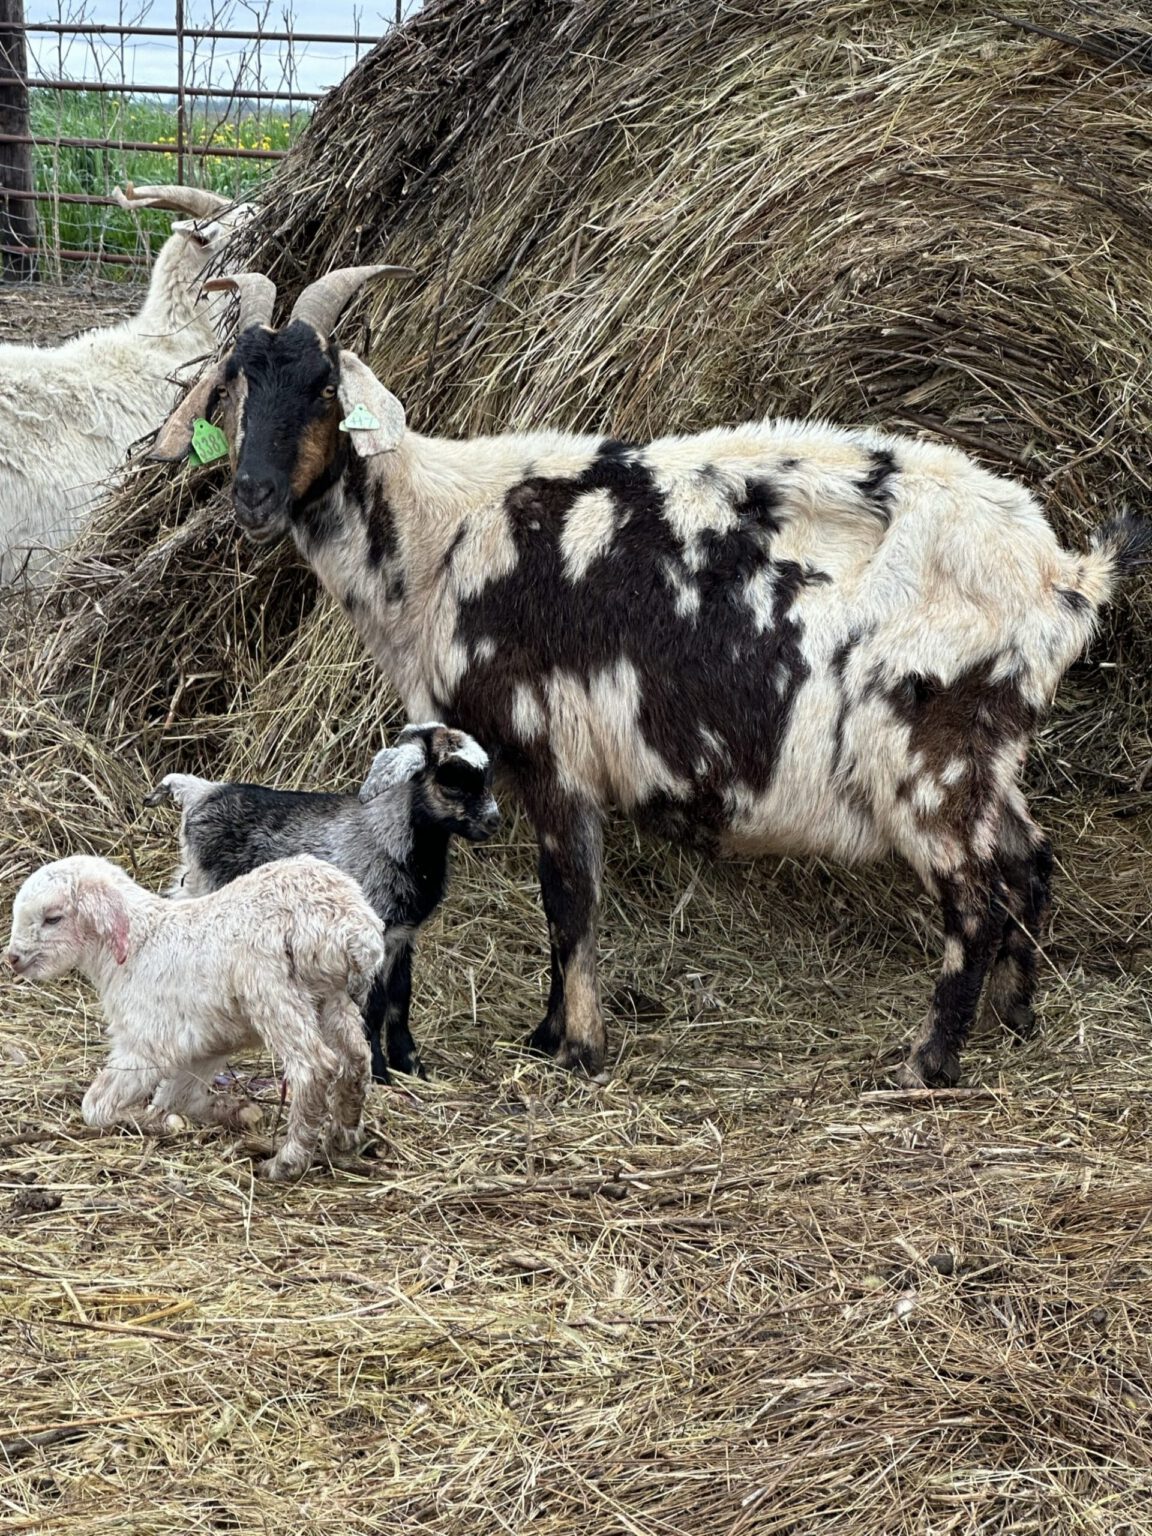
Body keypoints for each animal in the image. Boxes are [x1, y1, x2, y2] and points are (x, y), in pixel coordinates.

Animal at [5, 853, 384, 1179]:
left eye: (52, 918)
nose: (13, 958)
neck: (138, 946)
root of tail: (353, 928)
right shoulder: (205, 1046)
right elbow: (179, 1098)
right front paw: (234, 1112)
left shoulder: (145, 1042)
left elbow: (95, 1106)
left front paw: (151, 1121)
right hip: (329, 995)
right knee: (356, 1057)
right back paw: (342, 1137)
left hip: (270, 988)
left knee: (314, 1067)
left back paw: (287, 1162)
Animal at [145, 722, 500, 1083]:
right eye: (451, 779)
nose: (493, 820)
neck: (386, 837)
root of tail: (202, 790)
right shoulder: (373, 934)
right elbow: (373, 1005)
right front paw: (377, 1071)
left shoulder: (403, 937)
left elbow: (400, 999)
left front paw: (411, 1065)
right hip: (206, 883)